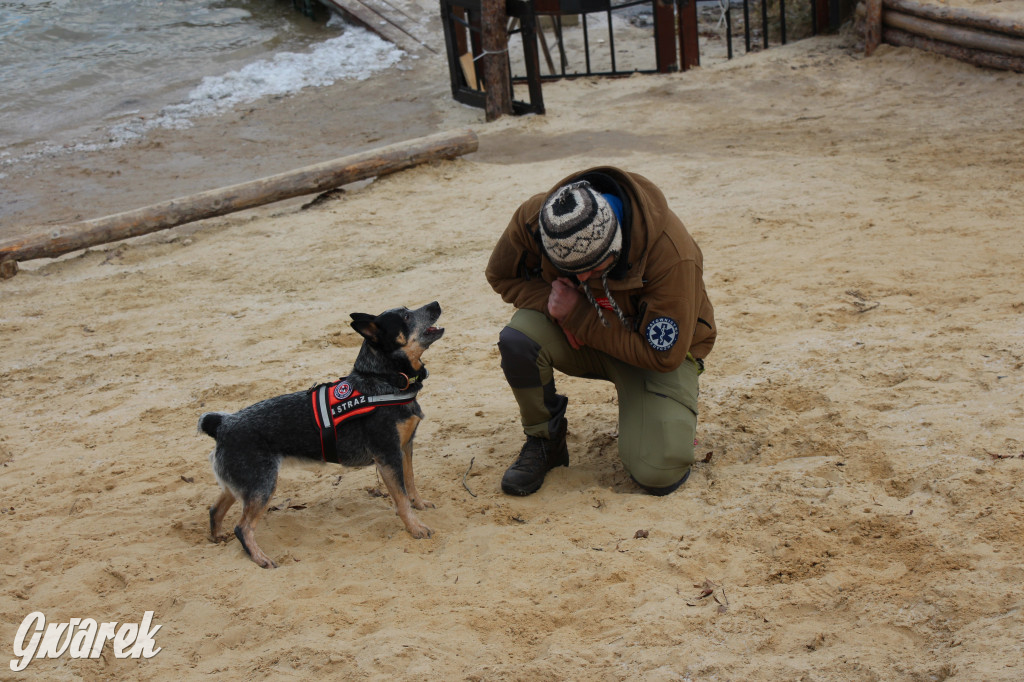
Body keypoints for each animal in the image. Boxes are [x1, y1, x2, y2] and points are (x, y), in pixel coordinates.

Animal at [197, 301, 442, 565]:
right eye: (406, 317)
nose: (435, 304)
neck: (387, 380)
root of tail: (222, 423)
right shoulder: (388, 456)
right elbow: (401, 498)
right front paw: (415, 527)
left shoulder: (405, 447)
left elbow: (411, 482)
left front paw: (419, 504)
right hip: (262, 486)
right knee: (242, 528)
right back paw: (260, 558)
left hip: (241, 485)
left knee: (215, 509)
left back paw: (217, 537)